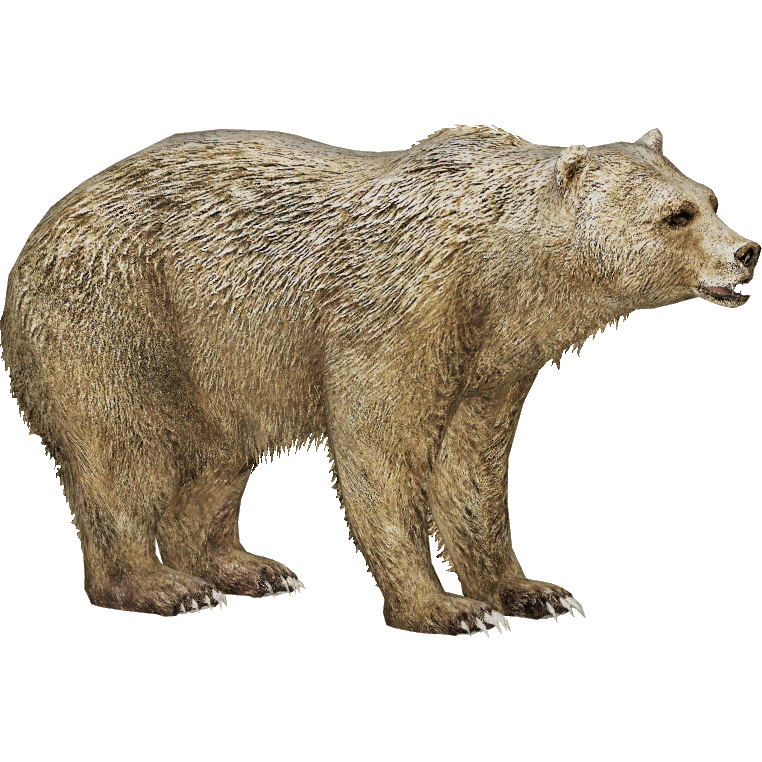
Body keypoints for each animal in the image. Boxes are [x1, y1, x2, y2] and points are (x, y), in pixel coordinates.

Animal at [0, 125, 757, 634]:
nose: (747, 252)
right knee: (119, 453)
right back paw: (160, 585)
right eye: (676, 215)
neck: (504, 276)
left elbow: (473, 466)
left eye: (710, 195)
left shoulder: (489, 359)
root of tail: (39, 232)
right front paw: (446, 609)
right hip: (115, 318)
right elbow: (381, 449)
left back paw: (244, 566)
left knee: (219, 460)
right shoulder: (401, 307)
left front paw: (529, 588)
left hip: (220, 370)